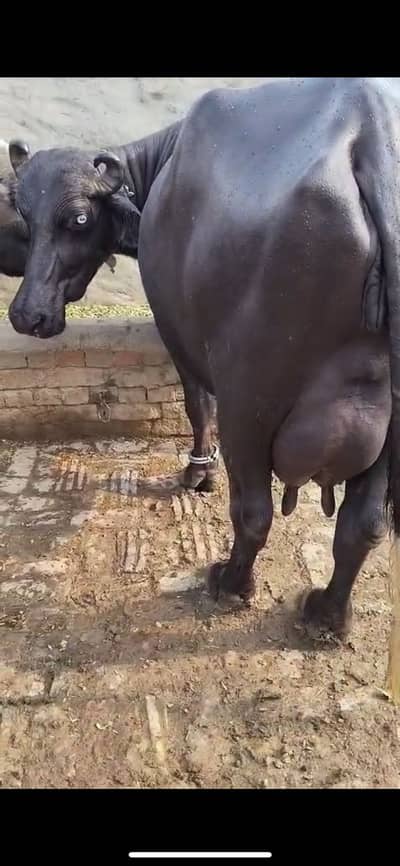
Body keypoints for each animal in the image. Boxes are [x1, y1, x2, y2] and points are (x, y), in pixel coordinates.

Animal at [6, 78, 400, 639]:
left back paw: (230, 582)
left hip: (250, 401)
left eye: (78, 219)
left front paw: (198, 473)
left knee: (254, 511)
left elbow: (197, 406)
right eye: (24, 214)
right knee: (361, 526)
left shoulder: (179, 337)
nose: (26, 314)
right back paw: (327, 613)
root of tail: (370, 129)